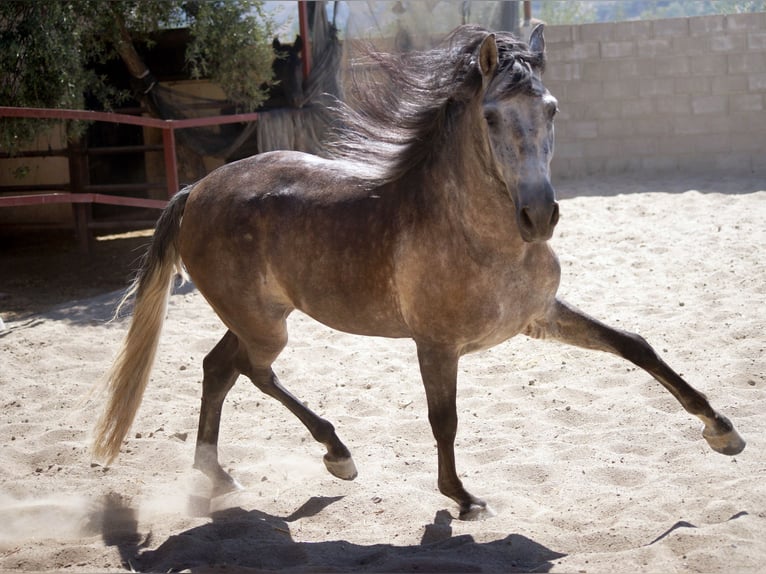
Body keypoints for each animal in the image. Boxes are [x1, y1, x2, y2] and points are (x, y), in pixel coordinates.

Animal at [93, 24, 748, 520]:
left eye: (552, 109)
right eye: (491, 117)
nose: (539, 215)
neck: (476, 235)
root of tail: (197, 189)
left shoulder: (539, 317)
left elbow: (636, 346)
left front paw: (722, 430)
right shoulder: (435, 345)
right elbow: (444, 419)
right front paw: (463, 499)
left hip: (261, 317)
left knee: (218, 369)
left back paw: (221, 476)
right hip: (264, 324)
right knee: (250, 371)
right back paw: (334, 454)